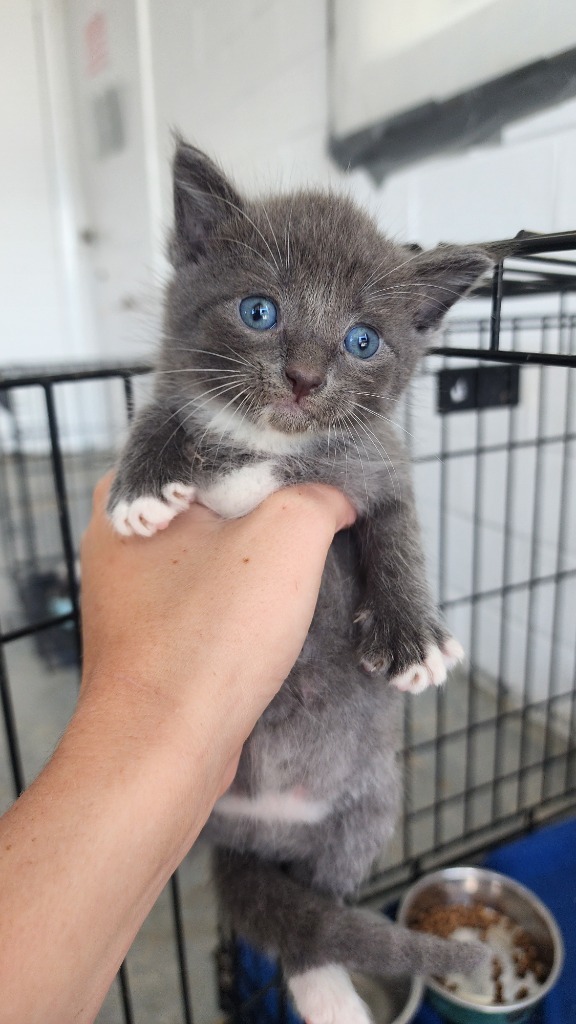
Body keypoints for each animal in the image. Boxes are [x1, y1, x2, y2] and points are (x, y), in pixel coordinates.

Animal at [106, 142, 487, 1024]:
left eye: (362, 340)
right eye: (259, 312)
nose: (306, 378)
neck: (271, 449)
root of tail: (259, 831)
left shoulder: (380, 464)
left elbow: (397, 531)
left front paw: (413, 635)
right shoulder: (181, 395)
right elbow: (160, 414)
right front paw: (143, 487)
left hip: (371, 801)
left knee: (320, 903)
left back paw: (328, 988)